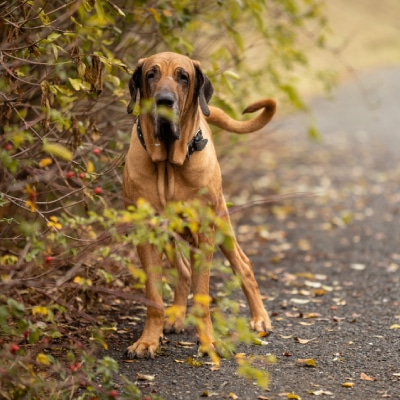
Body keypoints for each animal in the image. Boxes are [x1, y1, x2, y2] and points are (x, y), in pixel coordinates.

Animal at [123, 51, 276, 358]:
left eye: (183, 76)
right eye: (151, 74)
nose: (164, 101)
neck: (168, 165)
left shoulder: (204, 232)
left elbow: (203, 294)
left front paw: (209, 342)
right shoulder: (146, 234)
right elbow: (153, 294)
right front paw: (148, 340)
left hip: (221, 222)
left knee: (243, 264)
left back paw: (259, 318)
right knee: (182, 271)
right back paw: (175, 317)